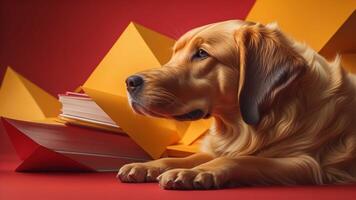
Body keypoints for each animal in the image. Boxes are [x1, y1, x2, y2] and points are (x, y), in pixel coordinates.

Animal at [117, 19, 356, 189]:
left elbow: (245, 160)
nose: (130, 82)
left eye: (201, 54)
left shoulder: (305, 163)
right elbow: (185, 158)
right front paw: (148, 166)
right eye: (174, 54)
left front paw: (196, 172)